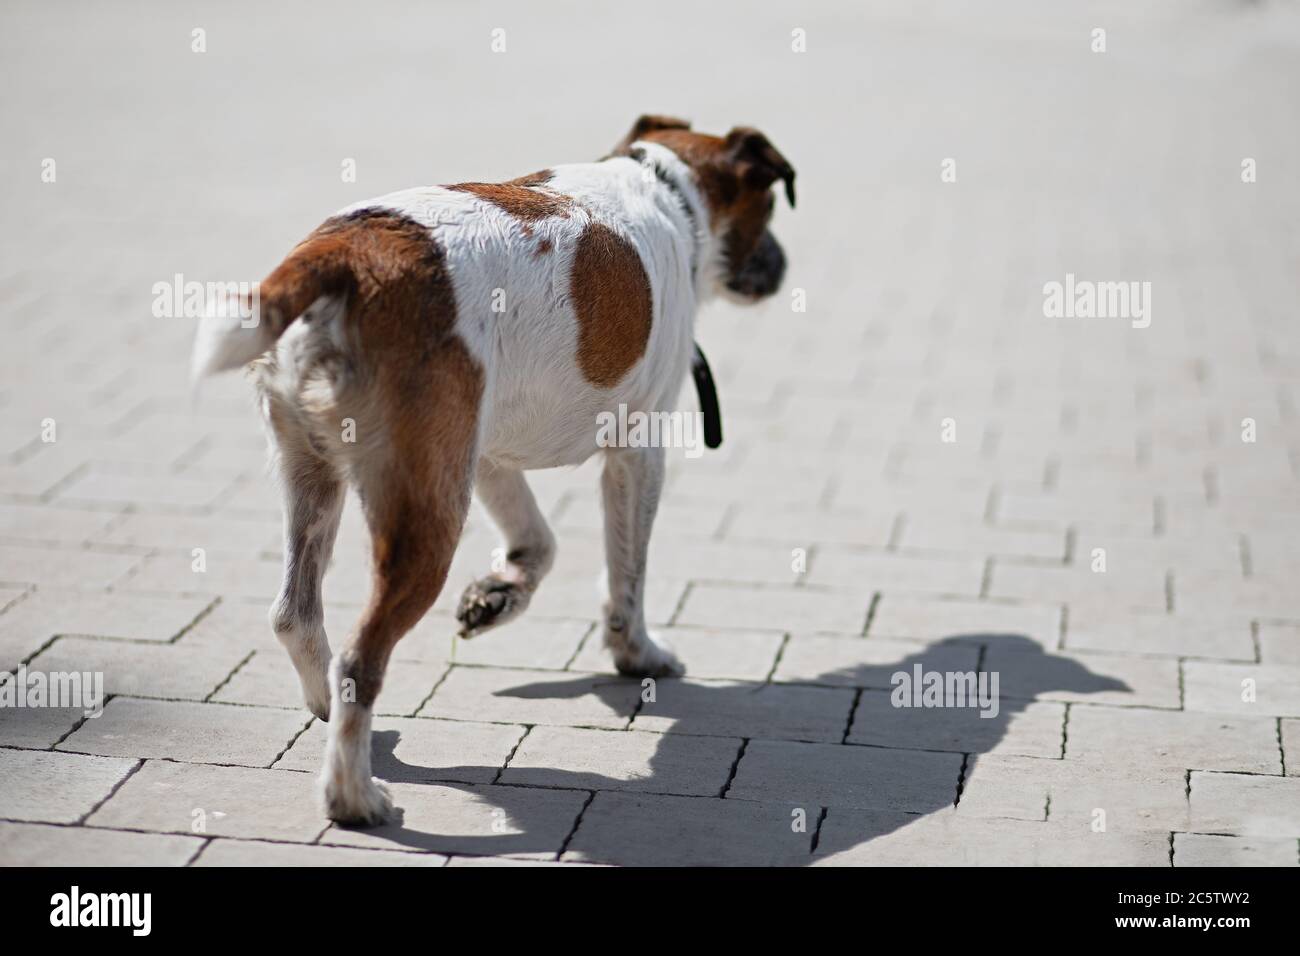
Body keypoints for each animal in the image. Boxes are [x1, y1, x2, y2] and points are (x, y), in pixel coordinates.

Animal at [191, 117, 790, 822]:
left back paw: (328, 717)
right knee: (359, 660)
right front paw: (636, 653)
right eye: (770, 207)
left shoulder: (482, 453)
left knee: (294, 614)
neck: (666, 186)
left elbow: (539, 541)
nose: (782, 267)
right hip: (425, 519)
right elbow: (627, 575)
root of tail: (346, 252)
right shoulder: (637, 451)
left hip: (319, 473)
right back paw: (354, 796)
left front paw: (499, 595)